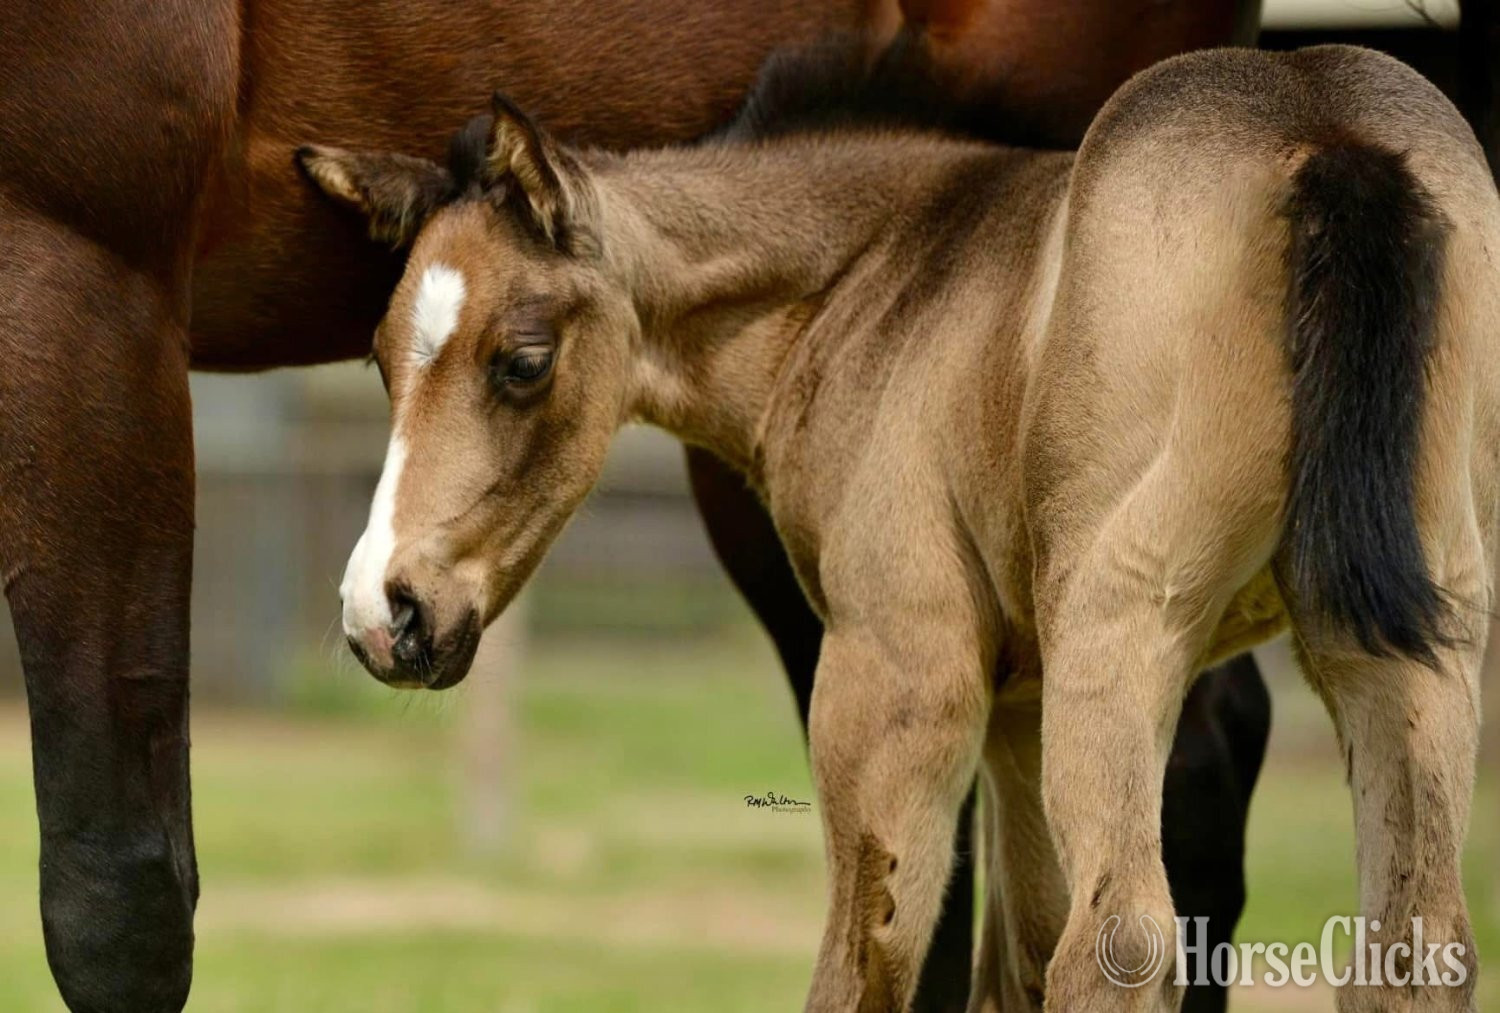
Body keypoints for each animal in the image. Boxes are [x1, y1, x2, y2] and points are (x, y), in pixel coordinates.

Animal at [310, 36, 1499, 1013]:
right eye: (379, 358)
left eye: (523, 360)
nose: (383, 613)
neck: (886, 273)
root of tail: (1322, 130)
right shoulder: (1015, 706)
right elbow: (1013, 960)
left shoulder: (896, 676)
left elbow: (868, 966)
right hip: (1408, 640)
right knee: (1413, 946)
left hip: (1125, 628)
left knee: (1122, 944)